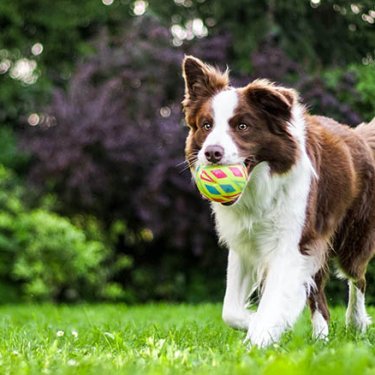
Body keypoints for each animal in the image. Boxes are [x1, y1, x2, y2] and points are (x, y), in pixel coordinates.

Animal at [181, 55, 375, 346]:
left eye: (242, 126)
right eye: (206, 125)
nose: (212, 153)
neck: (259, 187)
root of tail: (359, 135)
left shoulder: (291, 243)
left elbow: (274, 299)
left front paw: (260, 337)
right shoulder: (245, 242)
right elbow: (230, 310)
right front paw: (259, 323)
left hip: (353, 236)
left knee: (357, 278)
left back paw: (357, 322)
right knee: (318, 294)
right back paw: (321, 338)